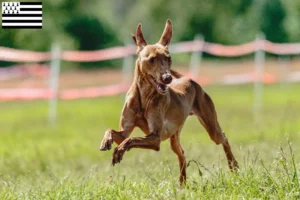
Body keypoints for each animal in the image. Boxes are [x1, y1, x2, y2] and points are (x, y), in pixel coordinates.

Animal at [101, 19, 239, 184]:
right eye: (151, 59)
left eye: (169, 58)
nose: (168, 78)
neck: (144, 98)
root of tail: (187, 79)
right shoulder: (124, 131)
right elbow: (114, 131)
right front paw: (106, 141)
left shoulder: (155, 138)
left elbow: (131, 140)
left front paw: (119, 150)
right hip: (175, 137)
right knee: (182, 155)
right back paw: (182, 183)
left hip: (211, 127)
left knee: (223, 137)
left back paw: (234, 166)